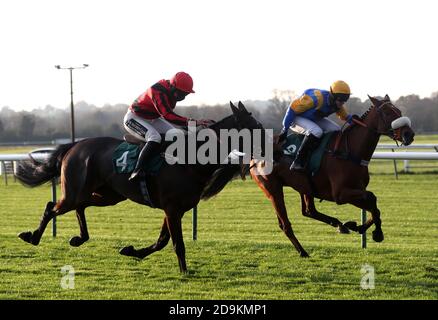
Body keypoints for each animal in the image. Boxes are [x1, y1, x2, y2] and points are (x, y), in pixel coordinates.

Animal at [15, 102, 264, 272]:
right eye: (252, 127)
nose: (269, 146)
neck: (190, 161)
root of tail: (75, 145)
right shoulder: (172, 209)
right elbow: (177, 243)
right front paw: (184, 271)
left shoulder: (175, 210)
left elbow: (162, 241)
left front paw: (131, 251)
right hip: (76, 191)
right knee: (52, 206)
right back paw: (33, 237)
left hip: (108, 195)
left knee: (80, 207)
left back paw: (78, 238)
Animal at [252, 95, 416, 258]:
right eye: (388, 113)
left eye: (399, 111)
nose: (409, 134)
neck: (349, 151)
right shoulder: (340, 195)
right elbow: (371, 199)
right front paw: (376, 233)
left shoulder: (357, 190)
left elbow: (373, 205)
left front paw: (359, 227)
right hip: (273, 189)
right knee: (285, 224)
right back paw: (303, 251)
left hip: (304, 186)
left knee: (309, 211)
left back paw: (339, 225)